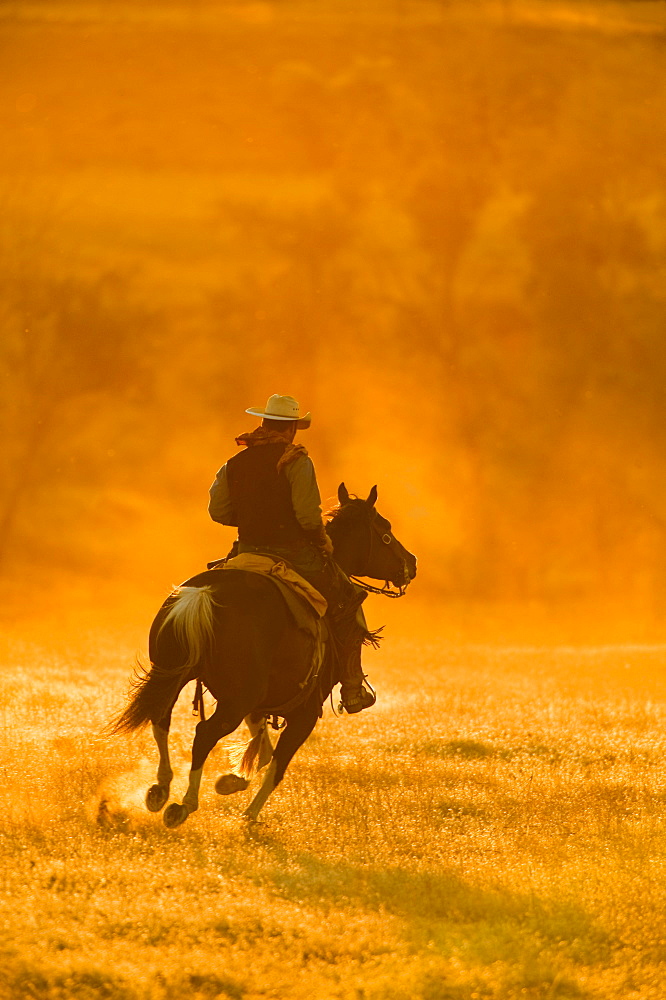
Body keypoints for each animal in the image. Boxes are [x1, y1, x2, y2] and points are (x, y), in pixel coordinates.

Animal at [109, 480, 416, 824]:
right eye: (385, 529)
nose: (412, 563)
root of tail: (204, 594)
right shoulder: (304, 712)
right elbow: (278, 763)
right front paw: (250, 816)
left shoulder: (258, 704)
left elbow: (262, 747)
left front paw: (232, 781)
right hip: (235, 700)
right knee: (204, 734)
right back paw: (184, 804)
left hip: (174, 675)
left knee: (161, 719)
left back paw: (160, 790)